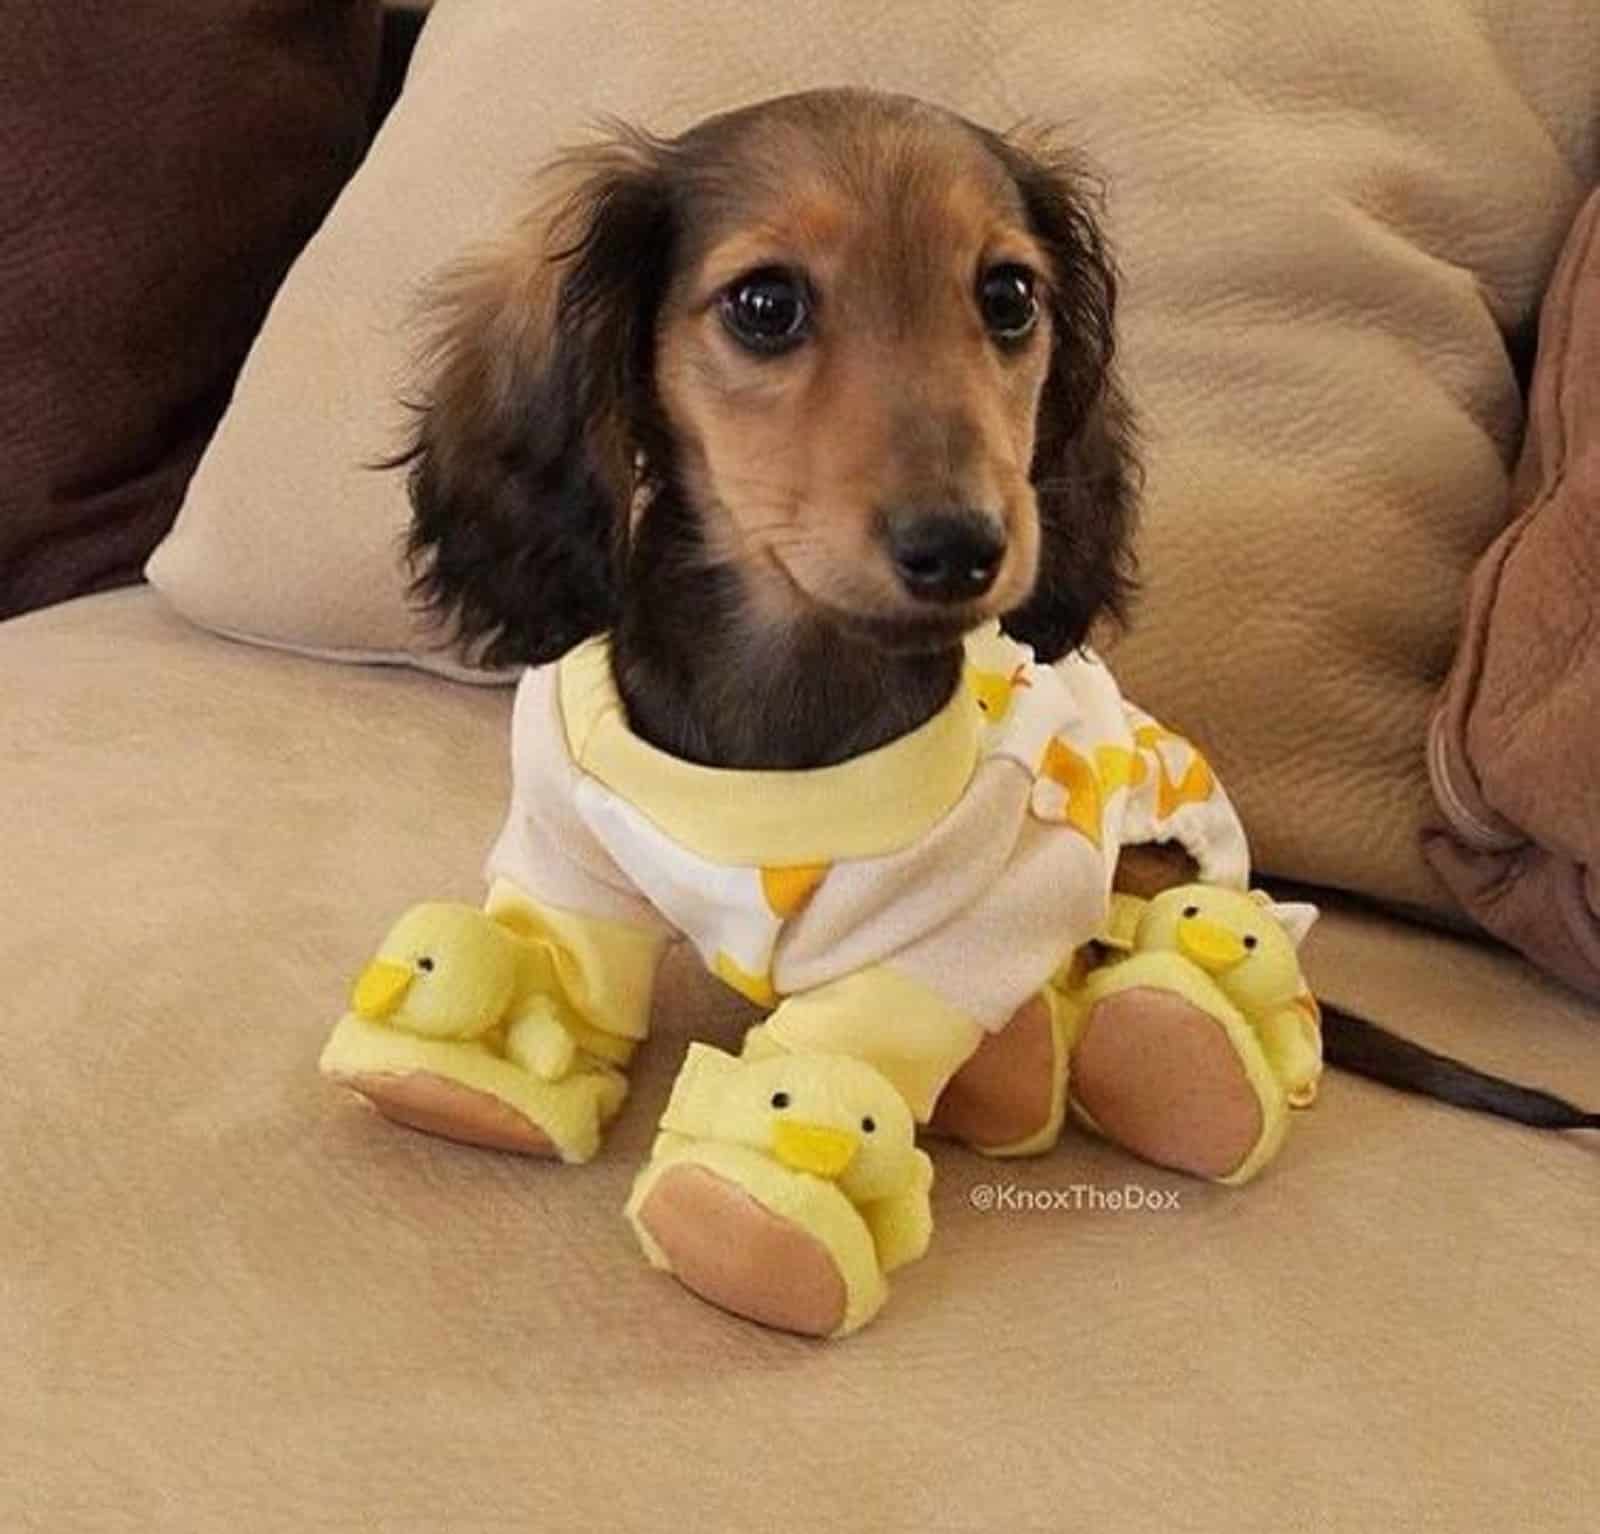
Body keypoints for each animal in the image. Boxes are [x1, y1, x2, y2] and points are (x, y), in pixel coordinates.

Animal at [393, 83, 1593, 1138]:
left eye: (1009, 297)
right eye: (764, 304)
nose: (961, 548)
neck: (790, 696)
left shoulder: (968, 923)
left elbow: (853, 1051)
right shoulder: (568, 858)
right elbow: (564, 968)